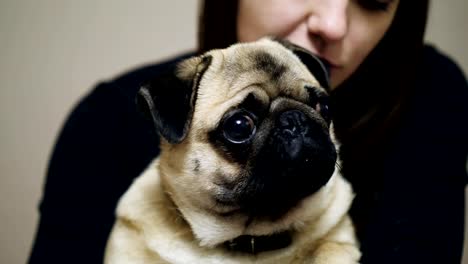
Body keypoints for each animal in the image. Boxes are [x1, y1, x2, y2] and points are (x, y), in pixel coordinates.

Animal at [106, 37, 360, 264]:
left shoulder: (338, 243)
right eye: (239, 126)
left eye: (324, 106)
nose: (294, 119)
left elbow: (330, 250)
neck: (249, 237)